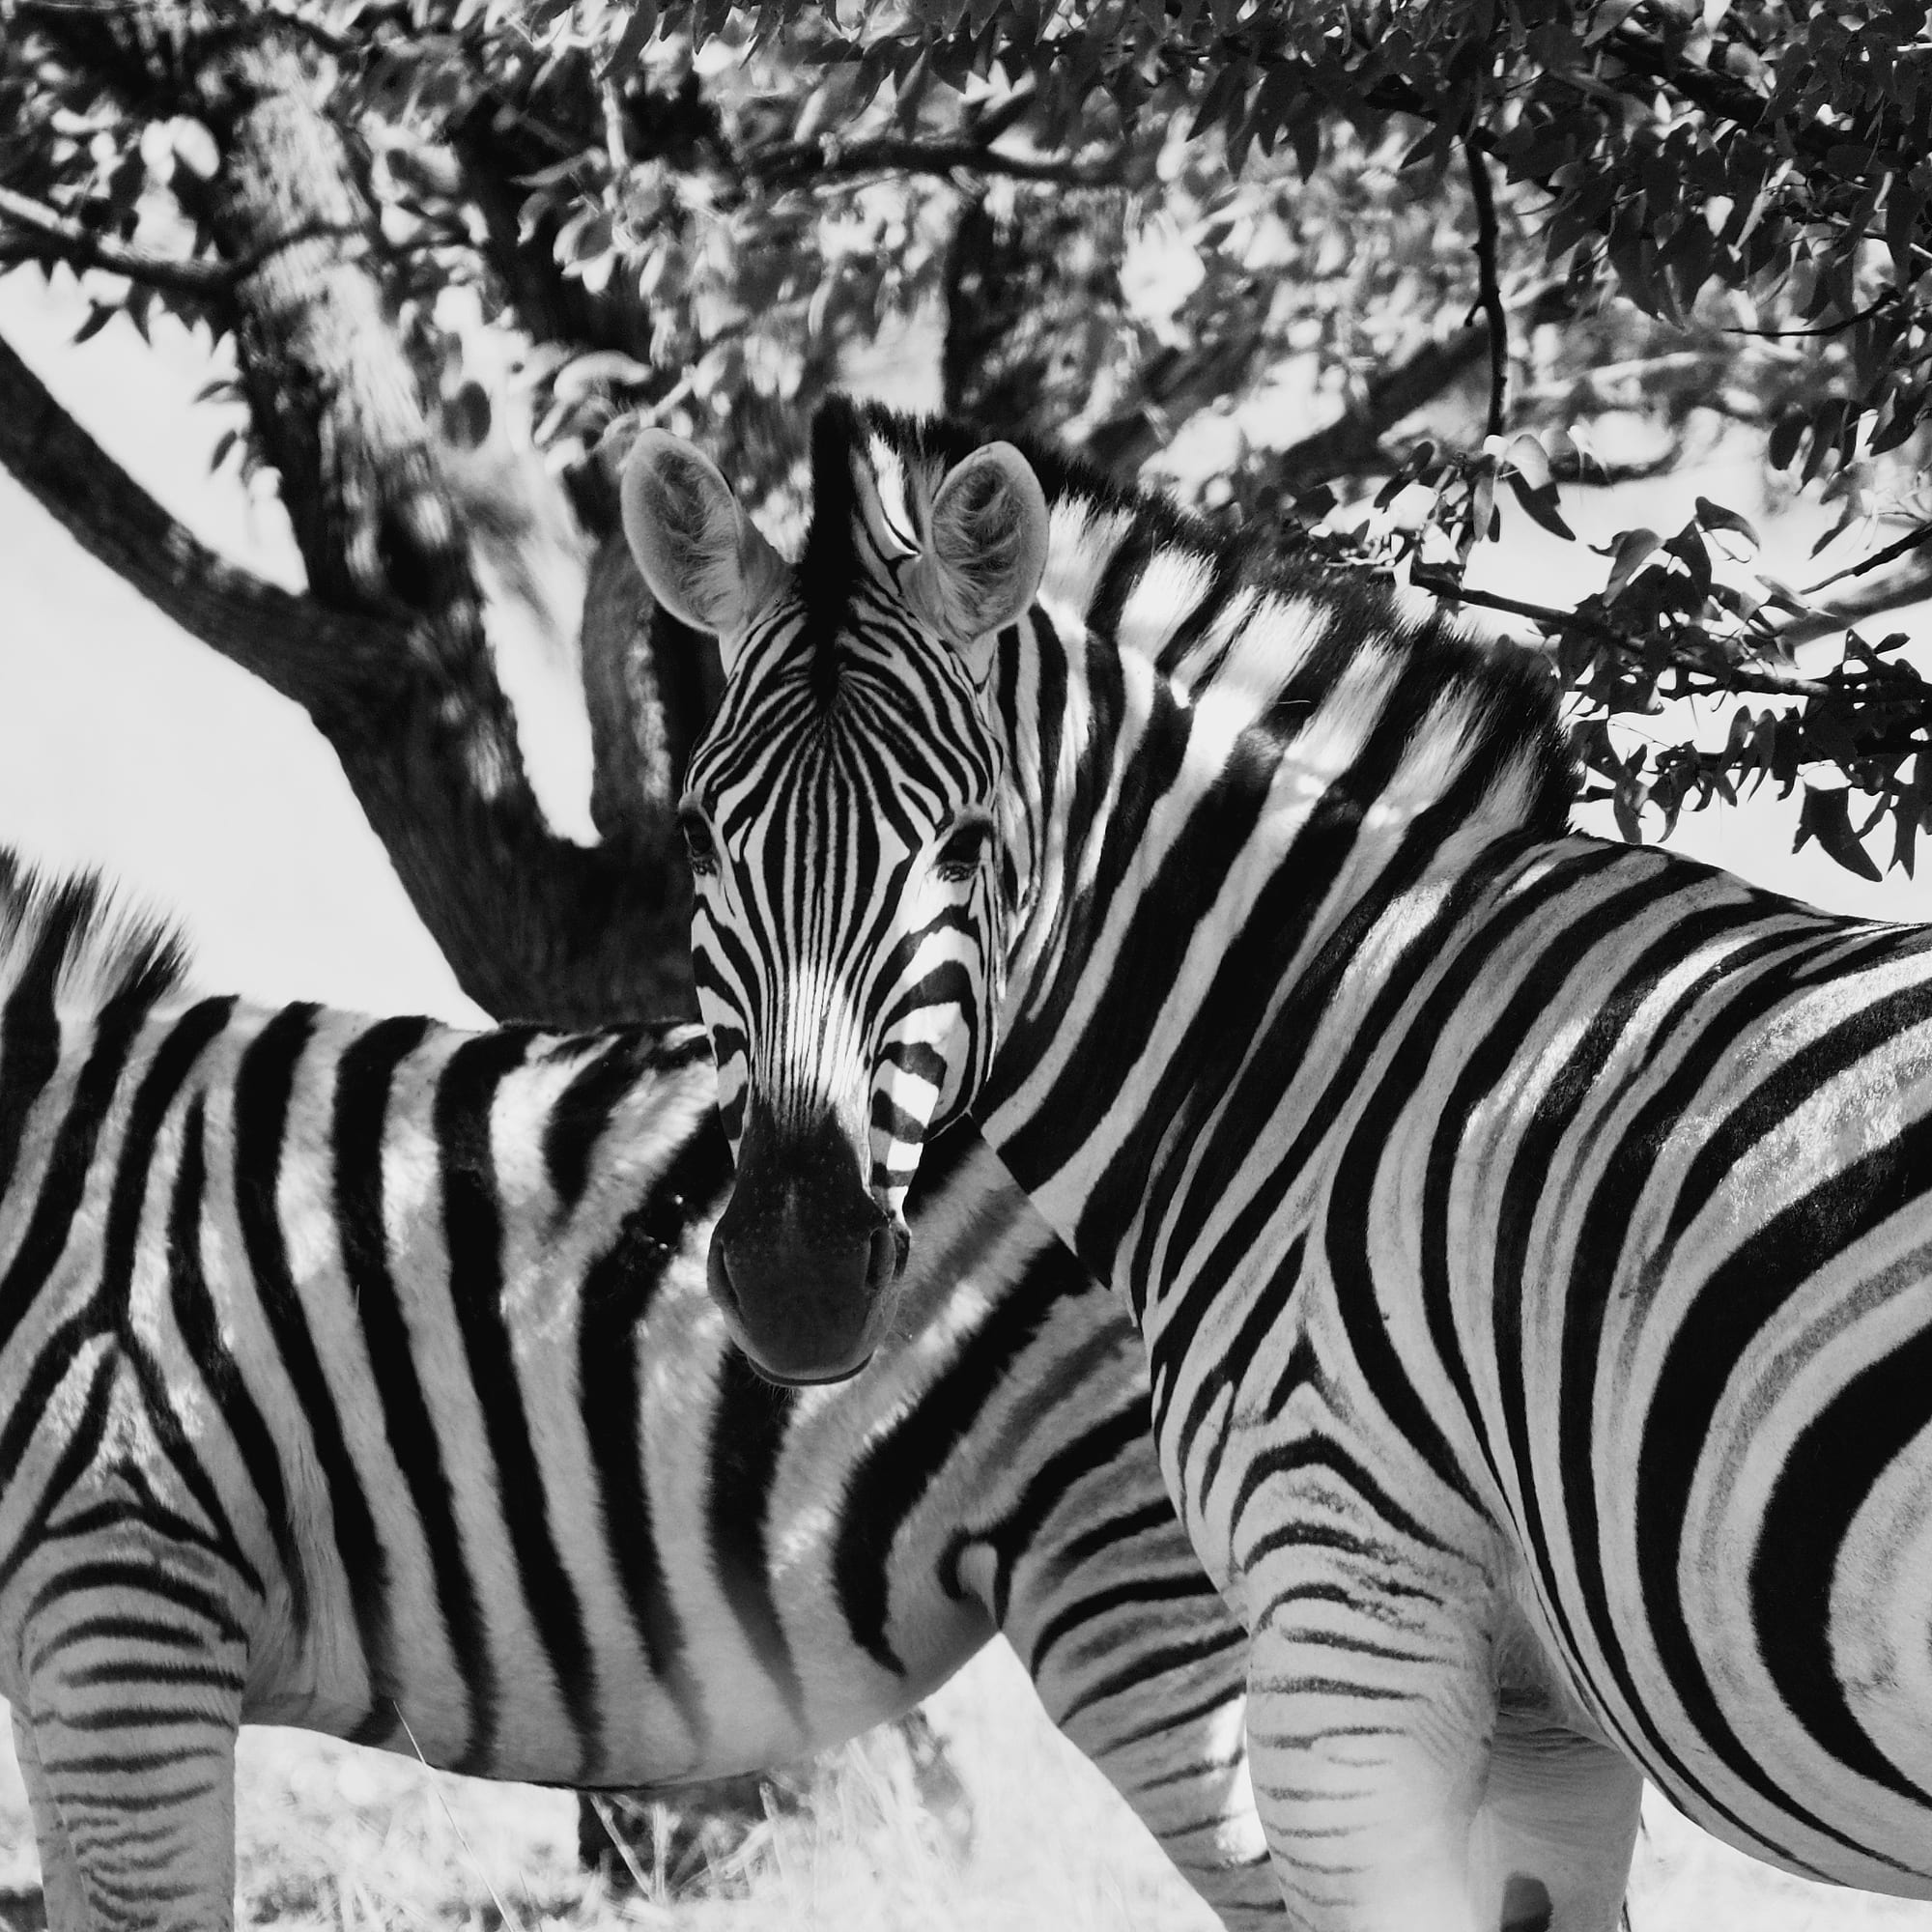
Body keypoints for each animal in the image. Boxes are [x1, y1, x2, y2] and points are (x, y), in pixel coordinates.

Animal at [622, 393, 1932, 1931]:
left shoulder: (1342, 1643)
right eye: (697, 835)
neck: (1313, 1026)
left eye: (963, 845)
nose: (798, 1279)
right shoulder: (1544, 1728)